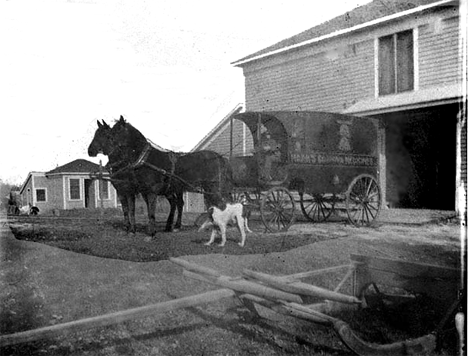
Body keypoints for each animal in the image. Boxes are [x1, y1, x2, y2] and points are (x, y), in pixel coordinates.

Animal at [88, 115, 232, 236]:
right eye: (105, 134)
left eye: (116, 132)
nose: (90, 151)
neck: (145, 160)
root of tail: (220, 158)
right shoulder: (135, 191)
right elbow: (134, 210)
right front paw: (132, 229)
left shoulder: (140, 191)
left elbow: (146, 211)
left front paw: (148, 232)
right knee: (185, 204)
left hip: (213, 188)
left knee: (220, 204)